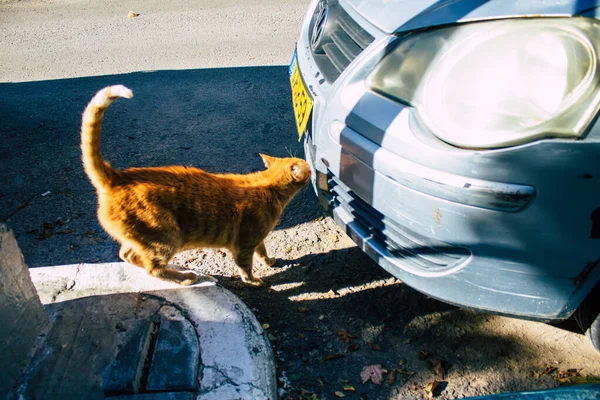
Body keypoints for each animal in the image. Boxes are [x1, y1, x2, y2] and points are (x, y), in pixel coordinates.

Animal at [79, 86, 310, 286]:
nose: (307, 161)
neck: (267, 187)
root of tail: (117, 177)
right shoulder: (243, 244)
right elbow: (246, 267)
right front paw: (253, 281)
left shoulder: (256, 239)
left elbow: (262, 250)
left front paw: (268, 261)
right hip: (167, 238)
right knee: (153, 268)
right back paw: (185, 277)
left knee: (127, 255)